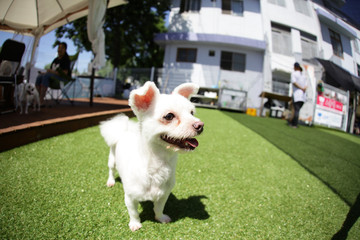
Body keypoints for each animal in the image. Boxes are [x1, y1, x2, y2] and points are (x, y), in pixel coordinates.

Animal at [100, 81, 204, 232]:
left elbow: (159, 208)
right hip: (112, 160)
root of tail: (125, 129)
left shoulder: (163, 195)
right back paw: (111, 181)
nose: (200, 125)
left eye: (192, 113)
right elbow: (133, 213)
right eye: (169, 116)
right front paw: (135, 224)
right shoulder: (130, 198)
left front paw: (160, 218)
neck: (159, 164)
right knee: (111, 170)